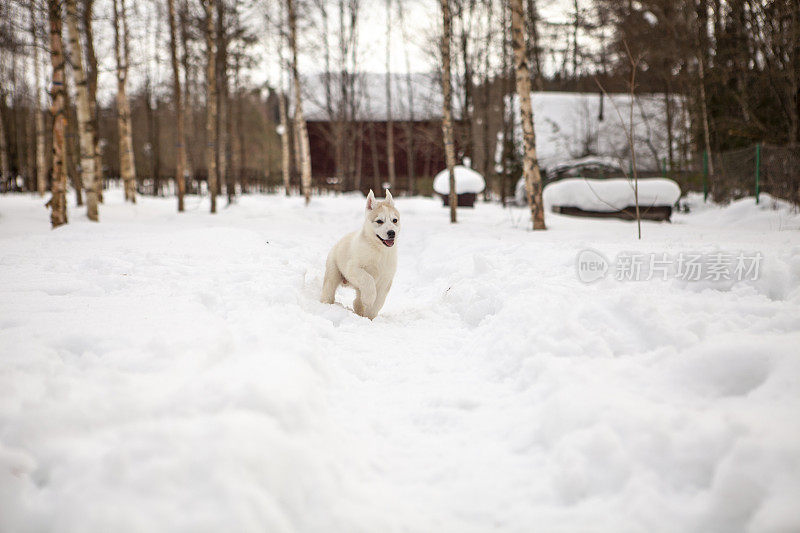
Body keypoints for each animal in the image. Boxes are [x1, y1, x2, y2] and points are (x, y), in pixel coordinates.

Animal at [322, 189, 400, 318]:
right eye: (379, 221)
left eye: (395, 220)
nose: (391, 233)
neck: (378, 250)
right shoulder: (353, 268)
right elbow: (368, 279)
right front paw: (369, 299)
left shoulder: (386, 280)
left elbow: (379, 302)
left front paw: (369, 317)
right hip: (333, 274)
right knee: (328, 291)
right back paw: (326, 305)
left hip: (358, 288)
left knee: (357, 301)